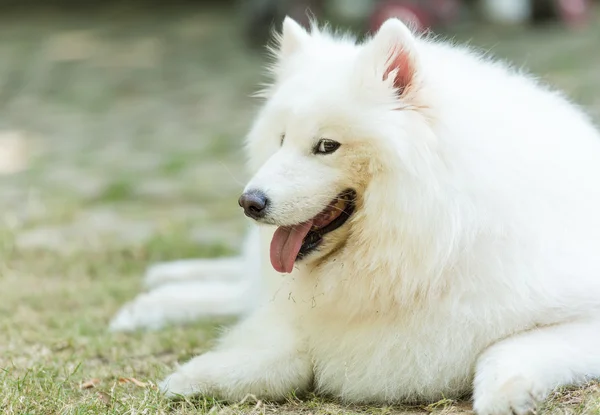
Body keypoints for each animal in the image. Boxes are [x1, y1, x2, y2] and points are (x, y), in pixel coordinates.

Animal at [112, 17, 600, 415]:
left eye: (327, 146)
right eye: (282, 139)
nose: (249, 202)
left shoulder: (578, 321)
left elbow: (507, 351)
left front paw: (506, 395)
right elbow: (279, 350)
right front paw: (197, 374)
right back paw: (150, 297)